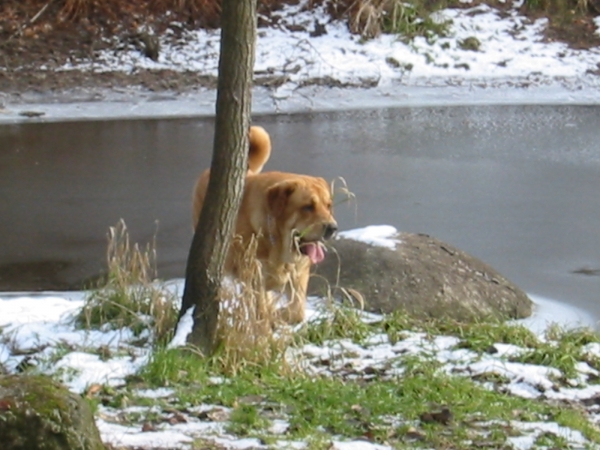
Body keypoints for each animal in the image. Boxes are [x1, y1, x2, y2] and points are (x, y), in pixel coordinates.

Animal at [195, 125, 340, 324]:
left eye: (328, 206)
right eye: (308, 207)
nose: (333, 228)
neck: (277, 244)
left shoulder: (298, 274)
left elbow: (296, 311)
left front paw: (279, 315)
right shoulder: (254, 276)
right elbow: (262, 310)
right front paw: (271, 316)